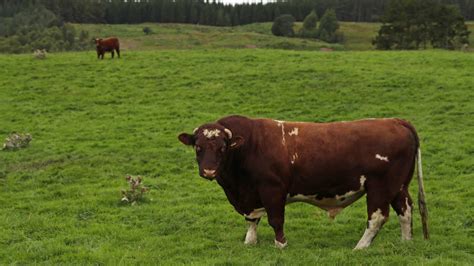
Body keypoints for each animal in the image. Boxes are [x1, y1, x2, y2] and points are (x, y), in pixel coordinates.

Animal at [178, 115, 430, 248]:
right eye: (198, 147)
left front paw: (281, 244)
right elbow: (252, 220)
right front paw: (250, 241)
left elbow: (276, 220)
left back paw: (360, 247)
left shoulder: (272, 190)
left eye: (222, 148)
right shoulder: (249, 195)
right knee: (405, 210)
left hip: (380, 187)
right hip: (398, 186)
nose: (209, 171)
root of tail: (394, 120)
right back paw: (406, 242)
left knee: (377, 217)